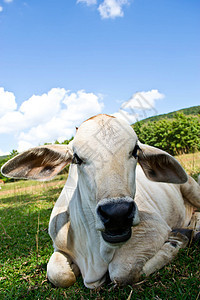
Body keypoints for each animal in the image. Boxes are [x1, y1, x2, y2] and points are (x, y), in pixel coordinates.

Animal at [1, 114, 200, 288]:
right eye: (77, 158)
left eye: (135, 151)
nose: (117, 214)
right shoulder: (58, 247)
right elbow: (59, 275)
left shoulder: (154, 228)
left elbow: (121, 272)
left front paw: (176, 240)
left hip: (192, 187)